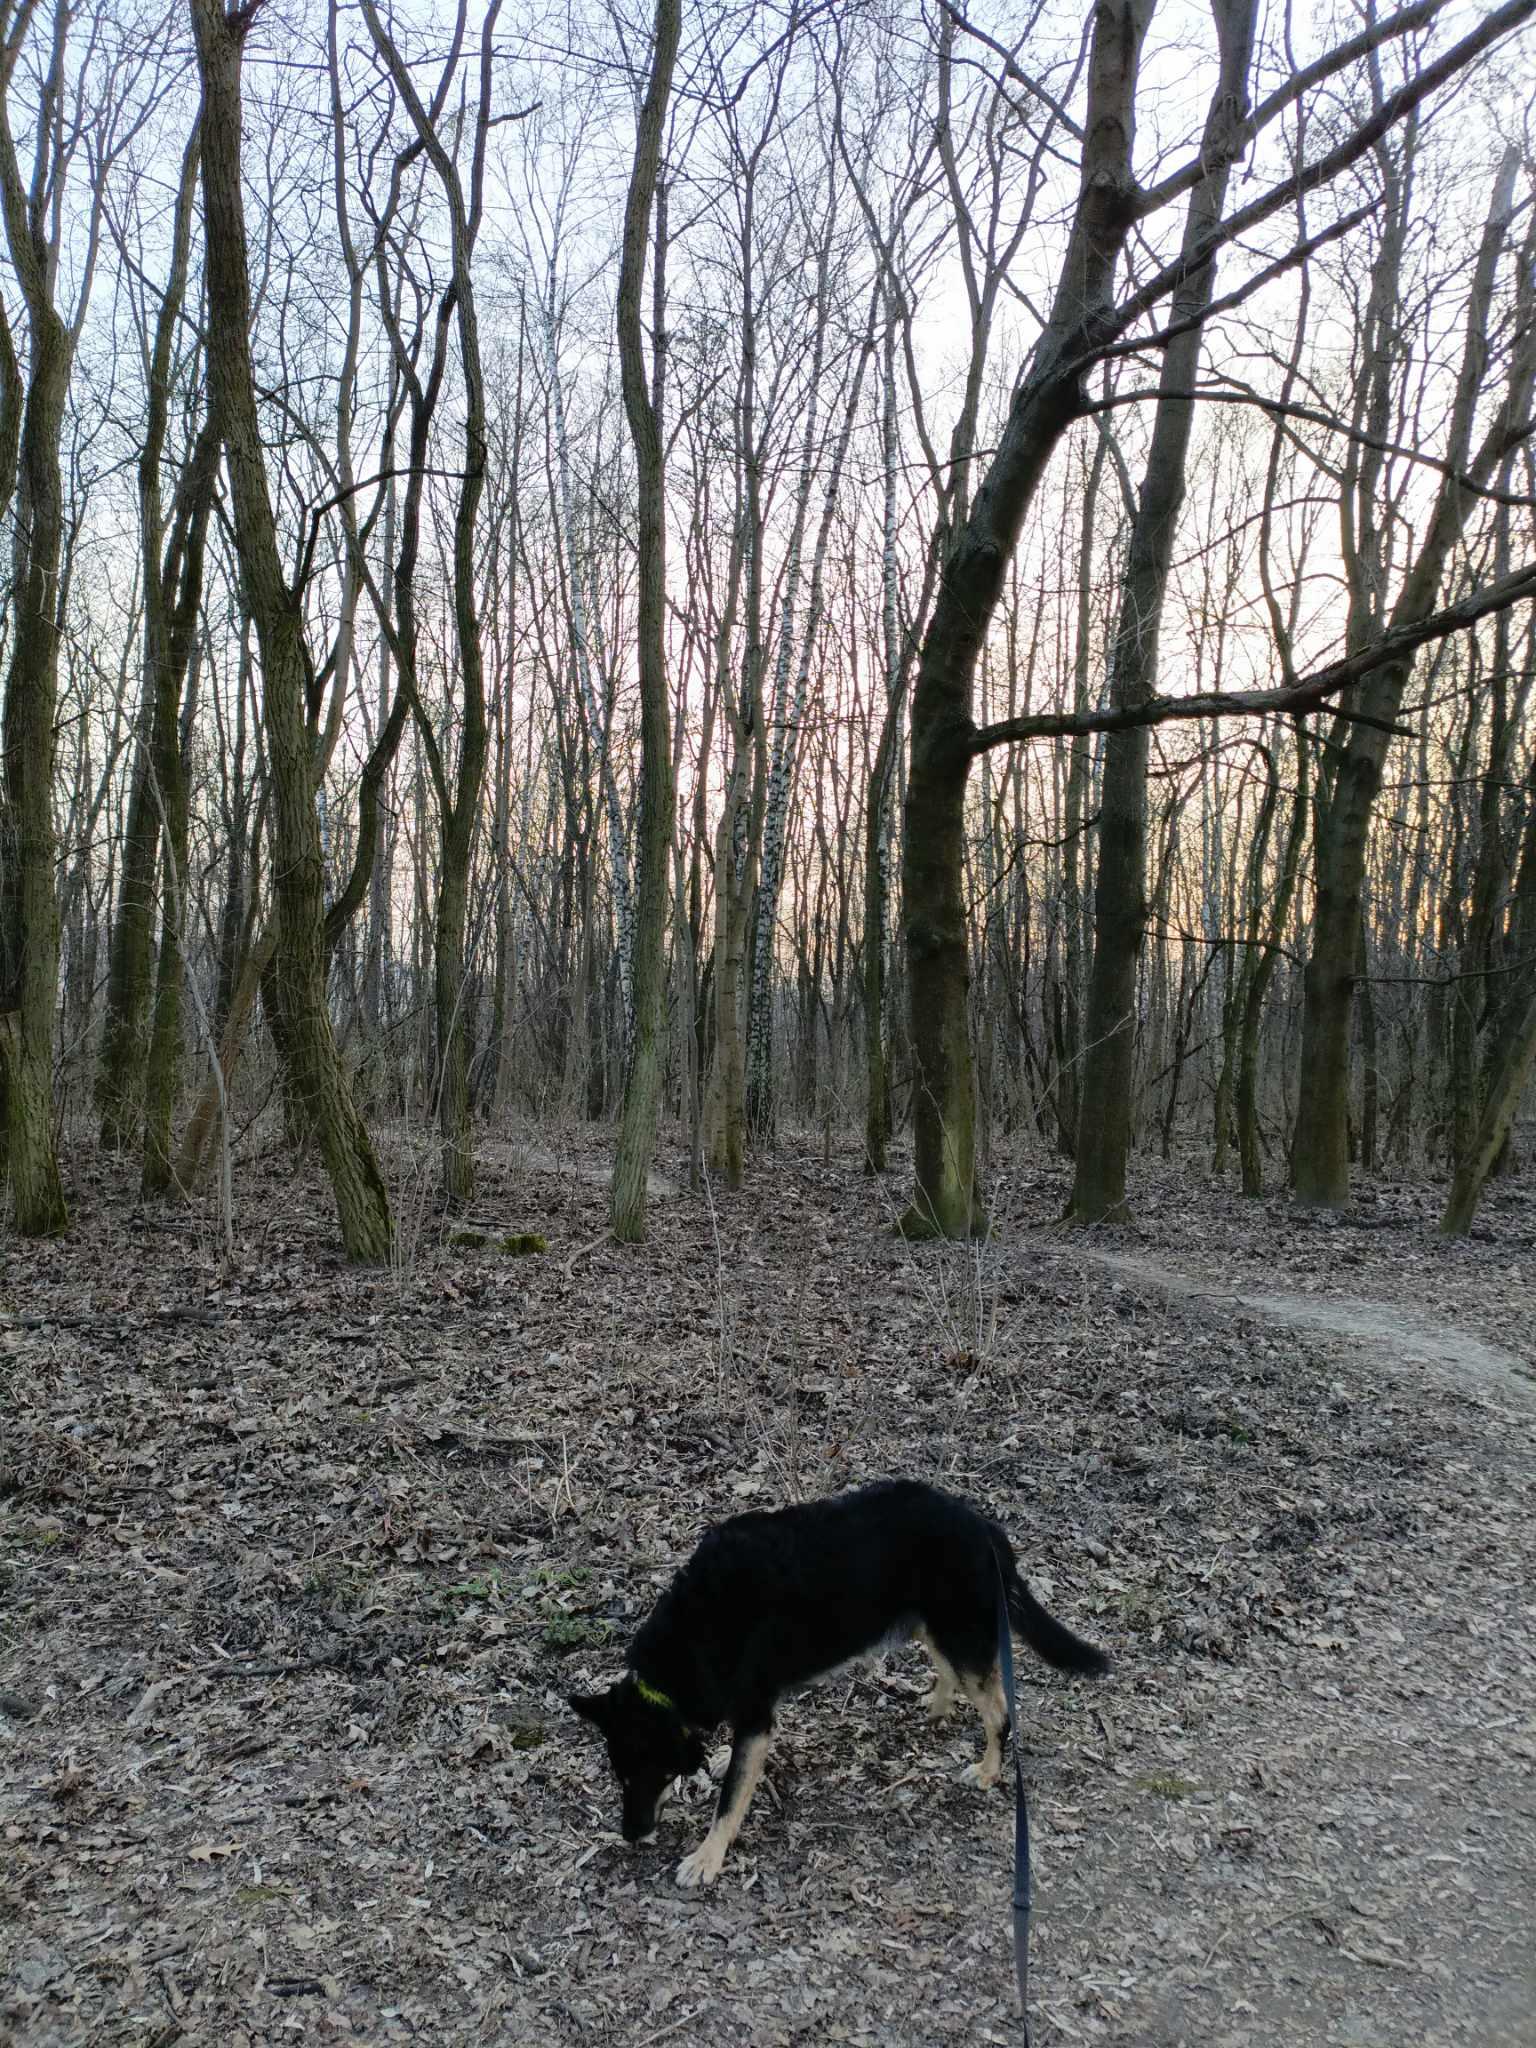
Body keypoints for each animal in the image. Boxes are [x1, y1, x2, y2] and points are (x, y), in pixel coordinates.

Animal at [569, 1477, 1108, 1887]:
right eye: (619, 1777)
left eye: (647, 1775)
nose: (630, 1835)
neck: (693, 1637)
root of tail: (985, 1528)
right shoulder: (755, 1714)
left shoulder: (755, 1715)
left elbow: (729, 1801)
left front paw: (707, 1857)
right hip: (930, 1627)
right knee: (953, 1677)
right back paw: (935, 1707)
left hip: (958, 1633)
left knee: (999, 1712)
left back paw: (989, 1771)